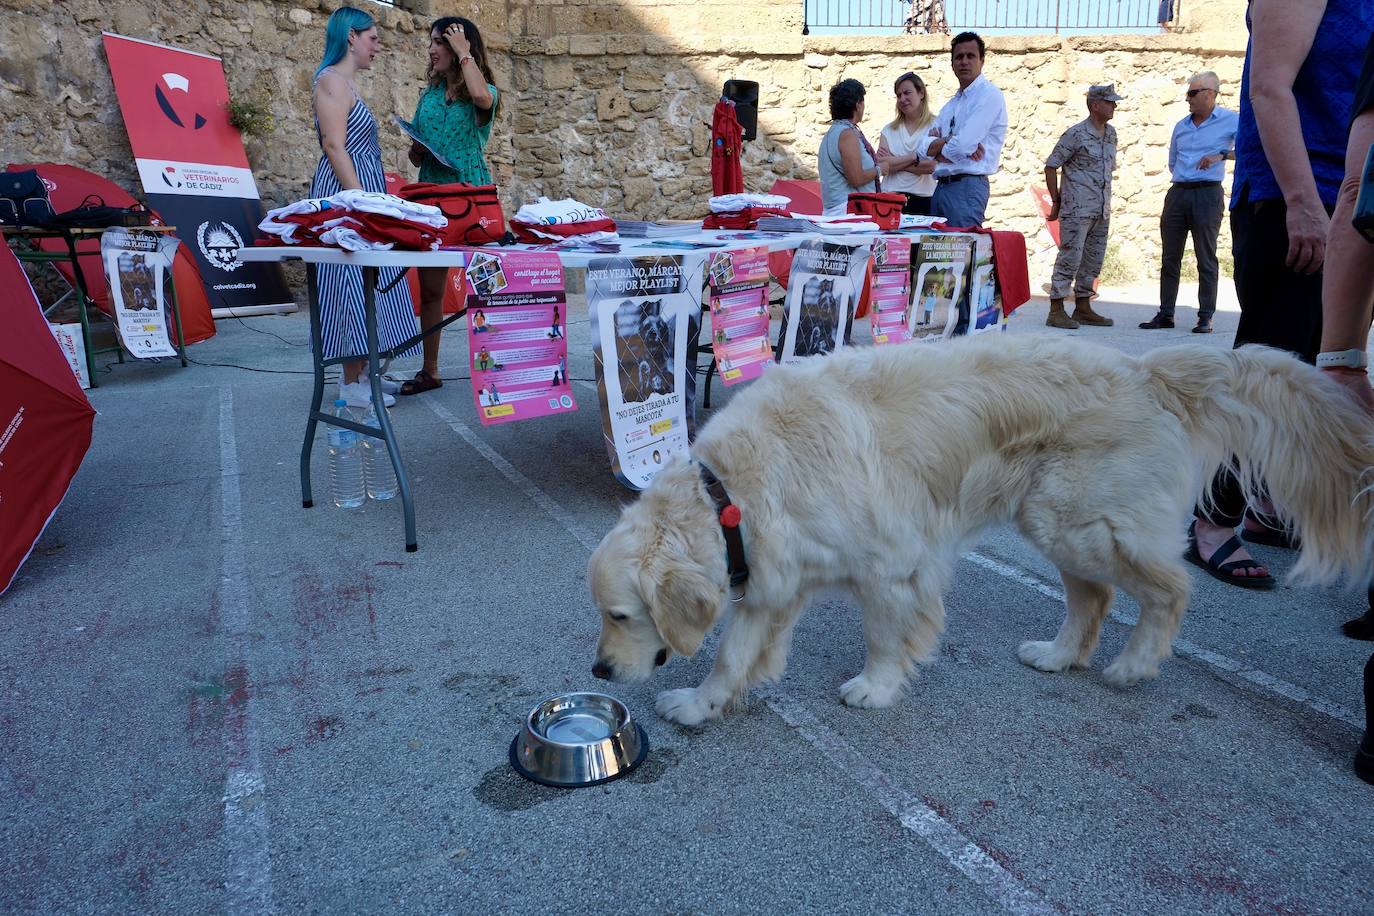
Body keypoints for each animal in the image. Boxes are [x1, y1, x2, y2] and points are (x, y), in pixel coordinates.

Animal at [588, 333, 1374, 725]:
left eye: (621, 615)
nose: (598, 672)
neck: (735, 488)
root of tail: (1145, 371)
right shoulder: (774, 579)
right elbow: (731, 654)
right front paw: (701, 705)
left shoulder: (893, 565)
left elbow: (885, 637)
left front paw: (876, 689)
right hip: (1054, 522)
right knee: (1094, 600)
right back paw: (1059, 656)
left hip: (1079, 521)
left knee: (1170, 588)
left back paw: (1134, 664)